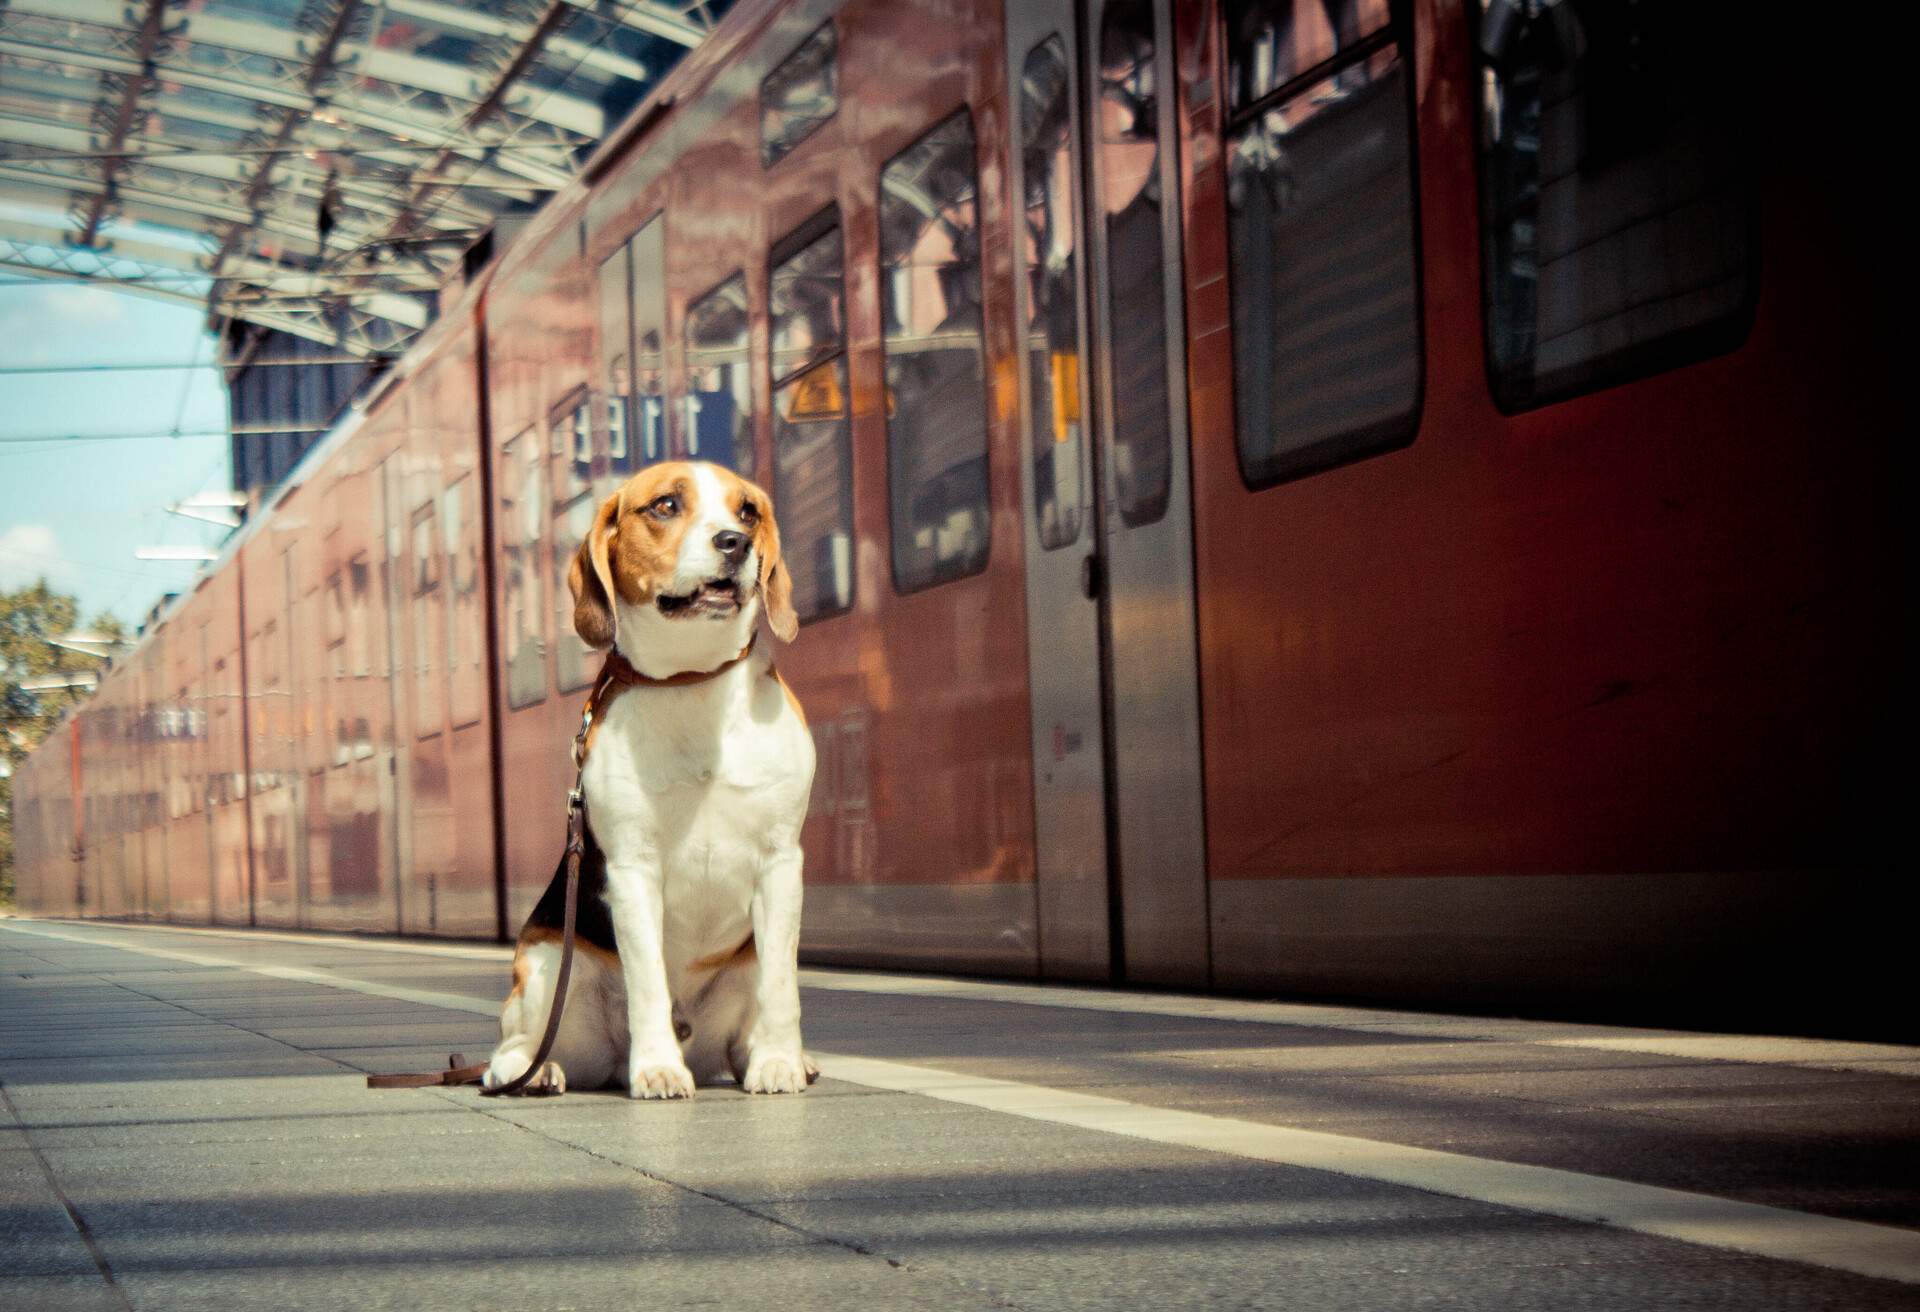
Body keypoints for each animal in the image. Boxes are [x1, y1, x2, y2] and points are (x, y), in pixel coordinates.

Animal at [483, 461, 814, 1098]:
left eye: (747, 512)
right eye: (665, 505)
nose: (735, 544)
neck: (692, 680)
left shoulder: (781, 860)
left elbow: (782, 987)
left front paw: (779, 1061)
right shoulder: (633, 870)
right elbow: (648, 982)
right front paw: (658, 1067)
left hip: (743, 962)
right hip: (544, 962)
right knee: (518, 1042)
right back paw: (531, 1072)